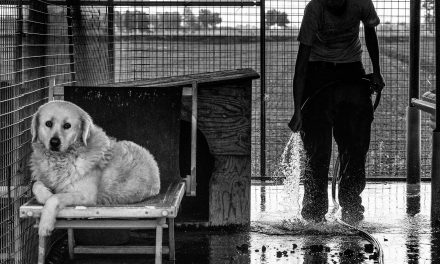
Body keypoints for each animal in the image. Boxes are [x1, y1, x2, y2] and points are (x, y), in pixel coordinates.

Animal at [31, 101, 162, 237]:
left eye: (67, 125)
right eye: (48, 123)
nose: (54, 142)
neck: (61, 159)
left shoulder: (86, 196)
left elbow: (54, 198)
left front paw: (45, 224)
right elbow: (36, 185)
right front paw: (45, 194)